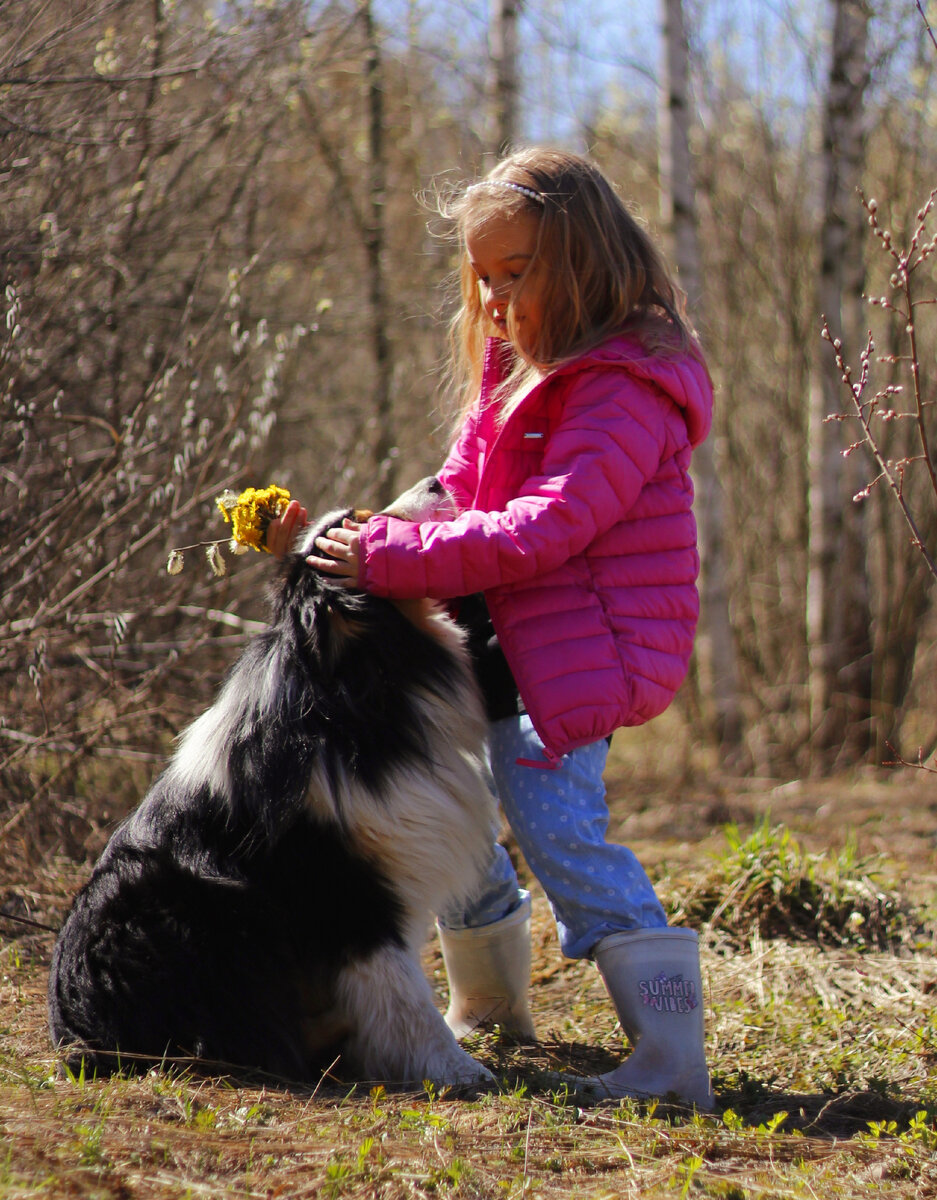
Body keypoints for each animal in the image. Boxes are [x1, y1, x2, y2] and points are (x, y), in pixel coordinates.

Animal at [49, 475, 496, 1089]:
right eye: (368, 521)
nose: (437, 481)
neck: (346, 694)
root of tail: (77, 1034)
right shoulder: (343, 886)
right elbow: (401, 986)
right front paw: (459, 1068)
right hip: (199, 917)